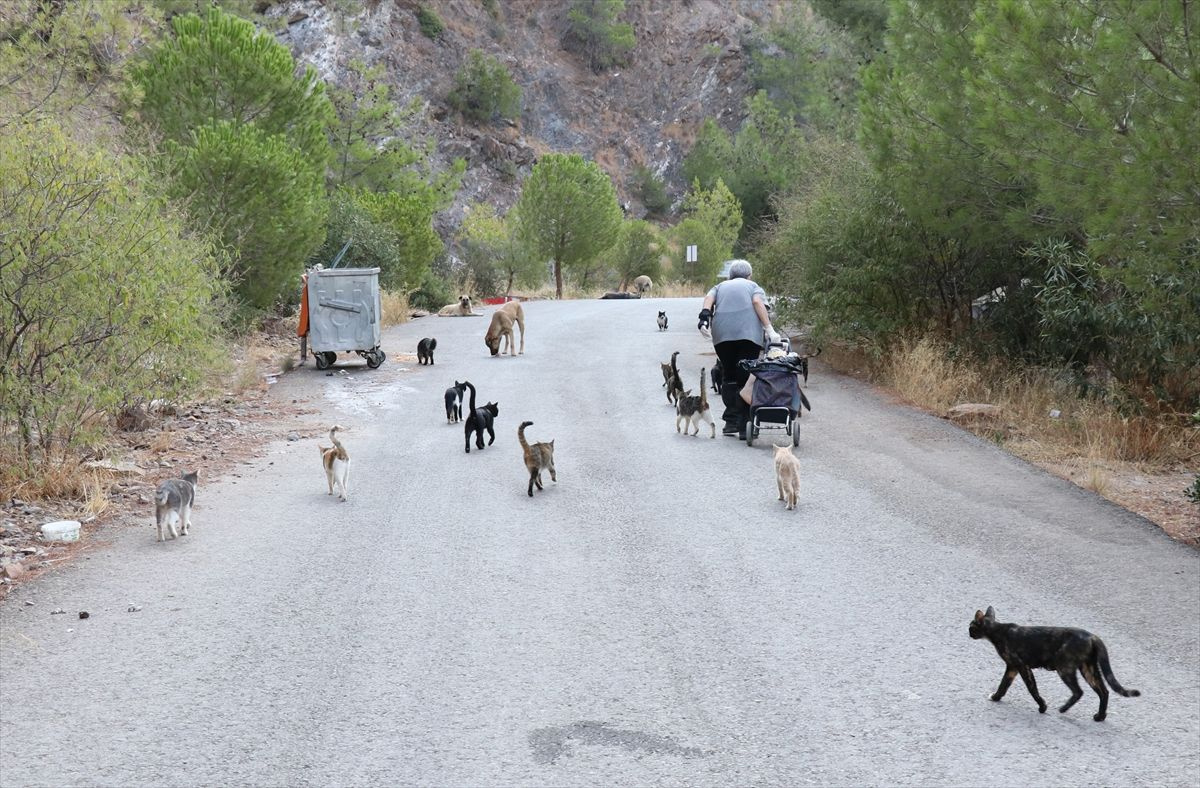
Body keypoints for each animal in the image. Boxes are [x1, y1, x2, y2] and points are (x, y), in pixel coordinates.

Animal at [964, 604, 1142, 724]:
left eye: (971, 626)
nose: (968, 633)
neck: (998, 631)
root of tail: (1092, 636)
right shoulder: (1012, 667)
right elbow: (1004, 685)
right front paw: (996, 697)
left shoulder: (1021, 666)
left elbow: (1032, 688)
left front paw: (1042, 707)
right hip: (1088, 668)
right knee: (1104, 691)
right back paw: (1100, 717)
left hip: (1065, 667)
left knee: (1079, 691)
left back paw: (1064, 709)